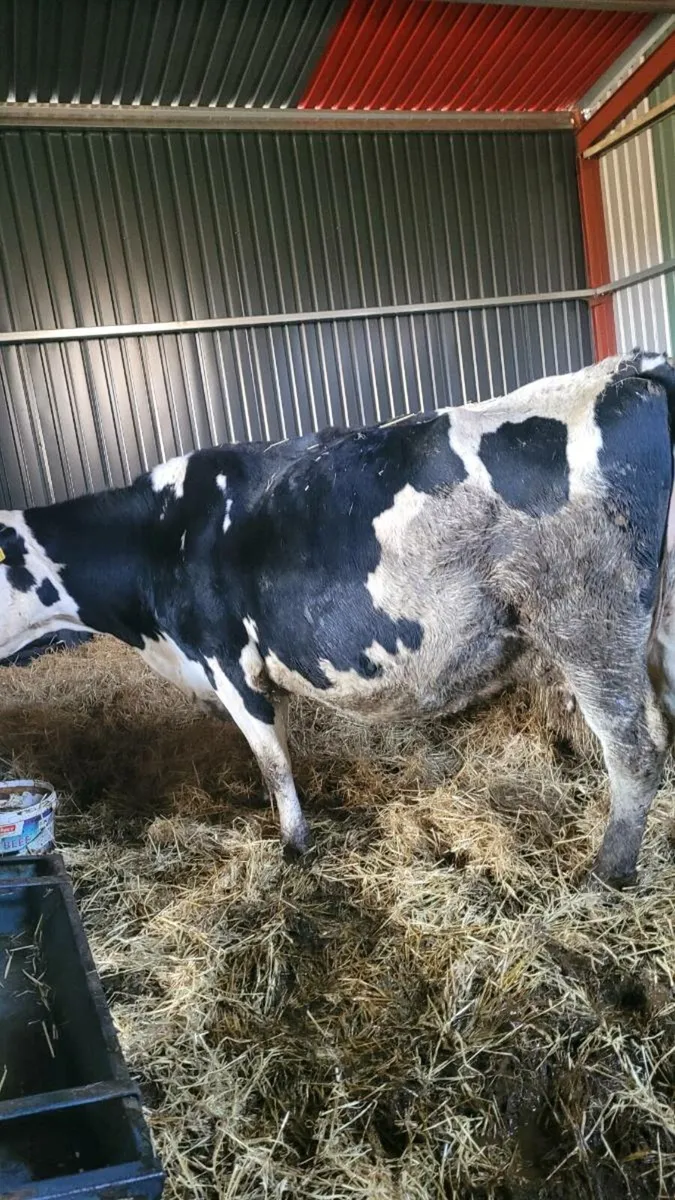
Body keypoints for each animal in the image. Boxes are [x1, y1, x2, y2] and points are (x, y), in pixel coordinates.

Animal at [2, 350, 675, 888]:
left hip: (588, 624)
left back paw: (607, 874)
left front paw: (294, 847)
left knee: (637, 750)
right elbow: (281, 752)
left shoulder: (227, 661)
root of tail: (629, 367)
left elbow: (273, 763)